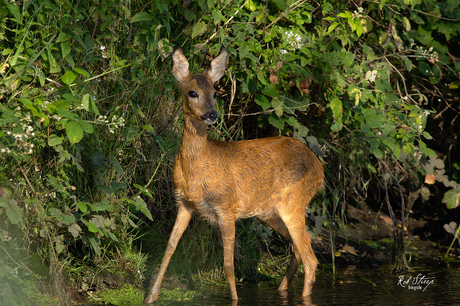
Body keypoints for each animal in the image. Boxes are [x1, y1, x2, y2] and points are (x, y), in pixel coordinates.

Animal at [144, 46, 324, 302]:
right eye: (192, 92)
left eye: (215, 93)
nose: (212, 115)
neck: (196, 171)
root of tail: (319, 168)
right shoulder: (184, 202)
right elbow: (169, 247)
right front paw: (150, 297)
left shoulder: (227, 206)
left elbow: (228, 264)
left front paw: (235, 300)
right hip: (269, 212)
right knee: (299, 250)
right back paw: (280, 290)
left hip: (295, 203)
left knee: (311, 258)